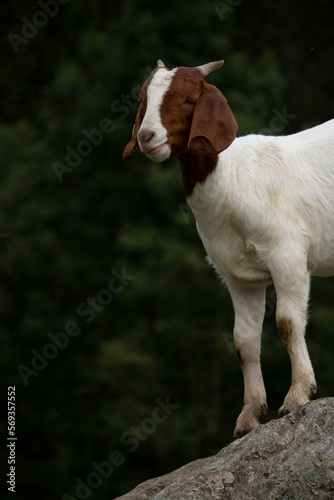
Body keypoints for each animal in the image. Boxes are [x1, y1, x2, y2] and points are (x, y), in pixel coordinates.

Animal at [122, 58, 334, 438]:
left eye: (189, 100)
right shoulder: (239, 276)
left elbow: (287, 322)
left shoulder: (287, 253)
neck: (232, 177)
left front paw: (297, 395)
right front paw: (248, 416)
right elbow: (244, 342)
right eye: (144, 100)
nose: (146, 137)